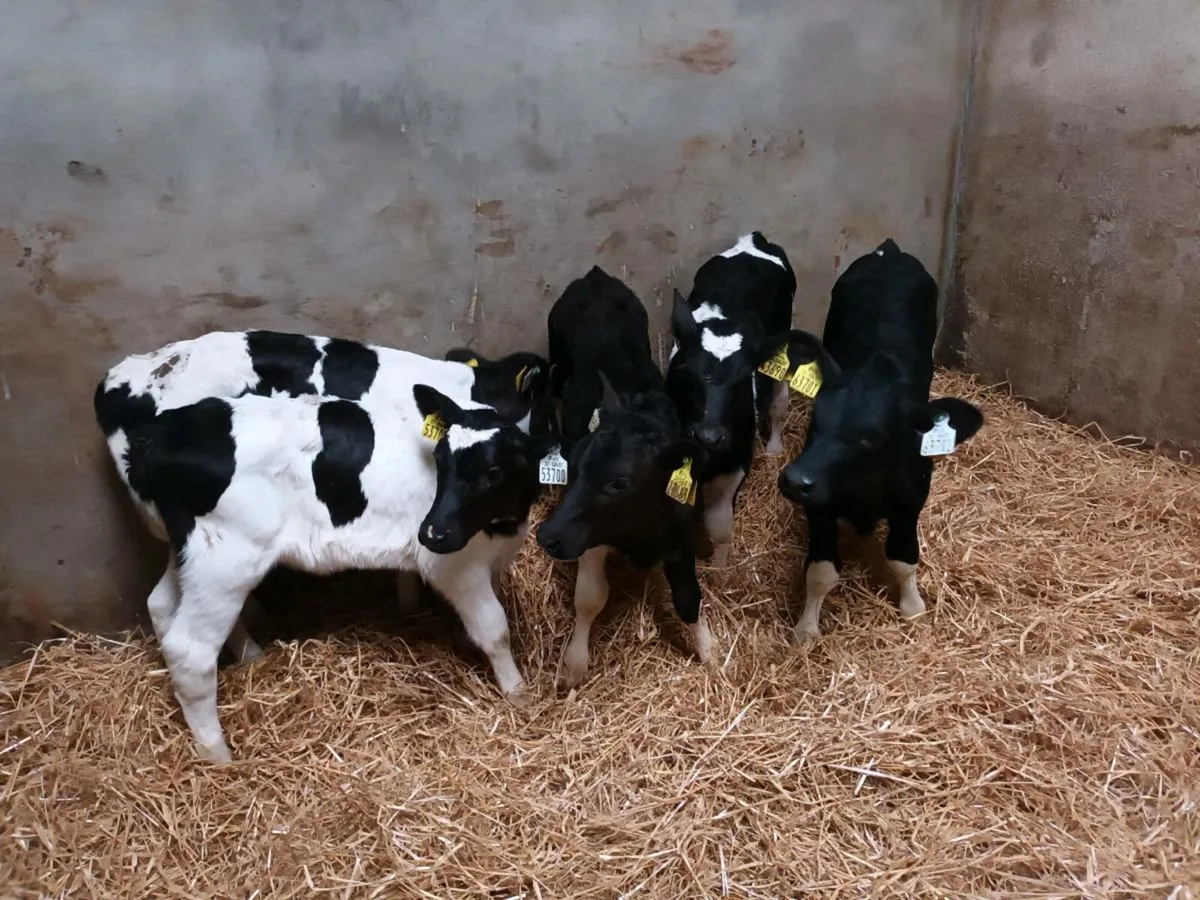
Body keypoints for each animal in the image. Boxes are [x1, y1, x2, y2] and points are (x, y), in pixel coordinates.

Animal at [103, 365, 558, 762]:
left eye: (493, 471)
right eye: (441, 460)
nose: (431, 533)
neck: (504, 523)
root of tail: (156, 437)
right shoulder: (454, 566)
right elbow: (494, 629)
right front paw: (518, 694)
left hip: (192, 553)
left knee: (162, 604)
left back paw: (251, 657)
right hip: (227, 557)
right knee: (190, 649)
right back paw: (217, 755)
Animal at [535, 266, 713, 687]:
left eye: (620, 483)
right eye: (574, 467)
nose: (547, 536)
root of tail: (595, 276)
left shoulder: (681, 537)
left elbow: (688, 599)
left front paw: (711, 653)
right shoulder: (588, 539)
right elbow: (589, 597)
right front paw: (573, 666)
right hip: (556, 353)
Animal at [666, 231, 822, 567]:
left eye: (742, 378)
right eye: (686, 372)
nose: (708, 436)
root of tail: (755, 240)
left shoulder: (735, 463)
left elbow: (719, 524)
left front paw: (720, 567)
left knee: (778, 402)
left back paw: (774, 447)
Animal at [777, 239, 984, 642]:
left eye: (870, 437)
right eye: (815, 422)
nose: (795, 480)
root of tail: (889, 251)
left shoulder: (910, 501)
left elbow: (903, 559)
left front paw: (913, 608)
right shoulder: (820, 505)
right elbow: (820, 571)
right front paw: (806, 630)